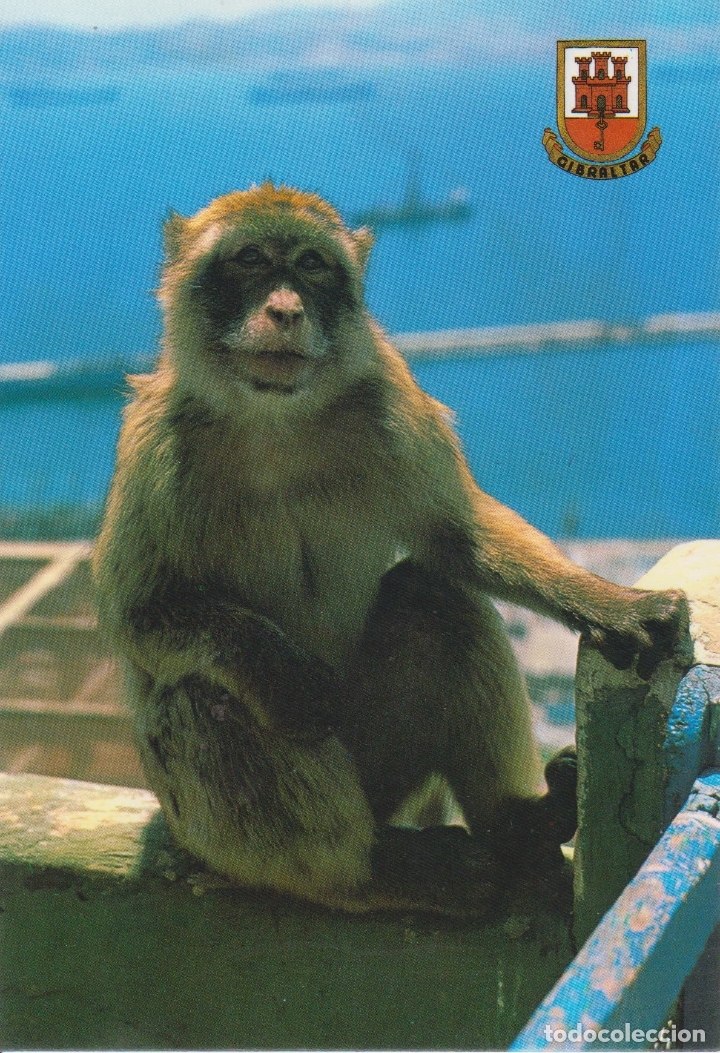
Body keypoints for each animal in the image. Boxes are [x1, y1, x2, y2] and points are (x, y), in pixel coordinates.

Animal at [93, 182, 687, 912]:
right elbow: (140, 613)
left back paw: (516, 828)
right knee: (200, 699)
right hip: (245, 827)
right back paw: (374, 871)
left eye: (312, 266)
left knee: (433, 598)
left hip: (393, 776)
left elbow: (456, 539)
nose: (286, 307)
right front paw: (277, 667)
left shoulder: (392, 401)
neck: (273, 418)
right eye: (252, 260)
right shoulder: (154, 442)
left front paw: (610, 604)